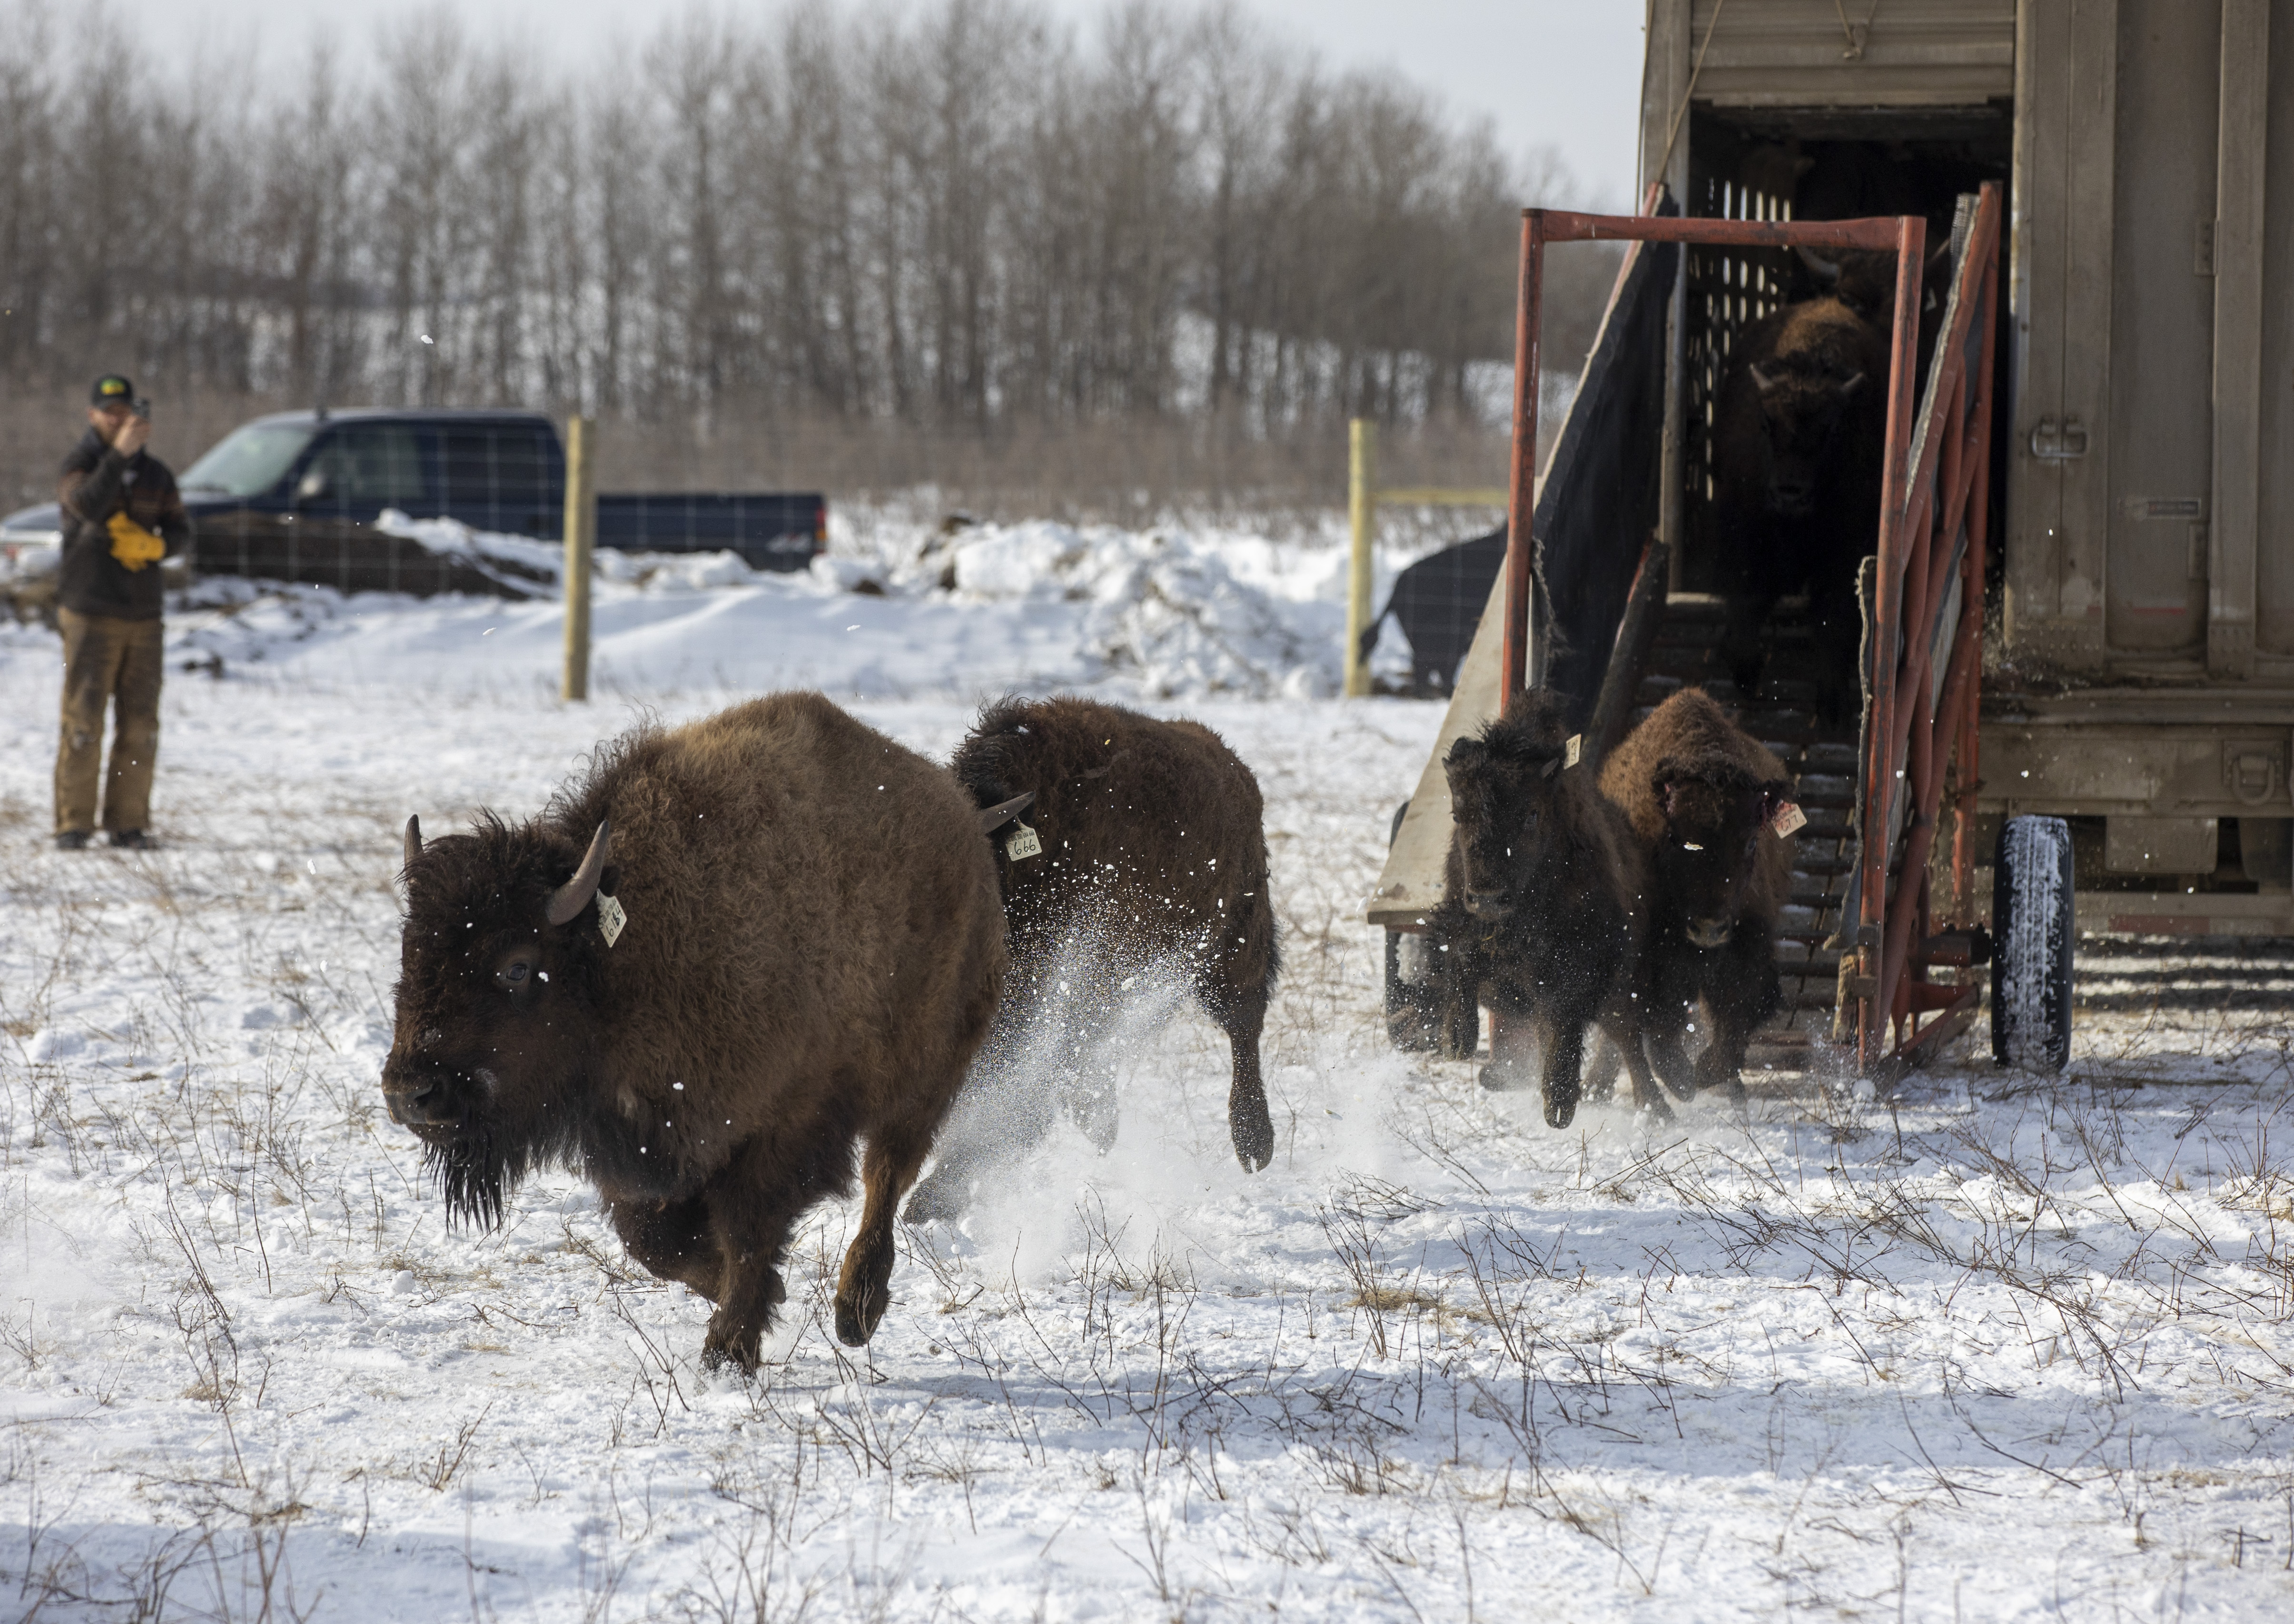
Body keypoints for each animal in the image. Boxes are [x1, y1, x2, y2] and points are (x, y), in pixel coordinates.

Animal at [383, 688, 1005, 1367]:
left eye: (517, 966)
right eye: (409, 951)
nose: (411, 1092)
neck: (621, 954)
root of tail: (965, 821)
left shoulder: (784, 1124)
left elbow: (750, 1227)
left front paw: (728, 1349)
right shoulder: (650, 1141)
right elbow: (652, 1238)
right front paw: (748, 1297)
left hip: (926, 1073)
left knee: (887, 1174)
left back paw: (855, 1311)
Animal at [899, 697, 1285, 1220]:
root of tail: (1236, 769)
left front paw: (937, 1194)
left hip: (1232, 941)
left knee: (1243, 1023)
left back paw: (1254, 1145)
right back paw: (1097, 1120)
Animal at [1431, 683, 1670, 1129]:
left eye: (1531, 814)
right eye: (1457, 814)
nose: (1488, 897)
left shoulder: (1578, 967)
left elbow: (1564, 1019)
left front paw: (1559, 1104)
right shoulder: (1466, 924)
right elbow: (1462, 956)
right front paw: (1456, 1039)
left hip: (1621, 988)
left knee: (1626, 1039)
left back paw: (1657, 1109)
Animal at [1596, 683, 1789, 1105]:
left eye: (1752, 842)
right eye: (1676, 838)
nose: (1709, 929)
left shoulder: (1747, 947)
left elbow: (1734, 1023)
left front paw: (1703, 1076)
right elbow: (1652, 1027)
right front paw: (1684, 1081)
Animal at [1716, 291, 1890, 724]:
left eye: (1829, 430)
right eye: (1765, 424)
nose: (1789, 495)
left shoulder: (1844, 554)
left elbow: (1833, 619)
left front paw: (1833, 704)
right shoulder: (1747, 536)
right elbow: (1747, 601)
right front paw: (1746, 671)